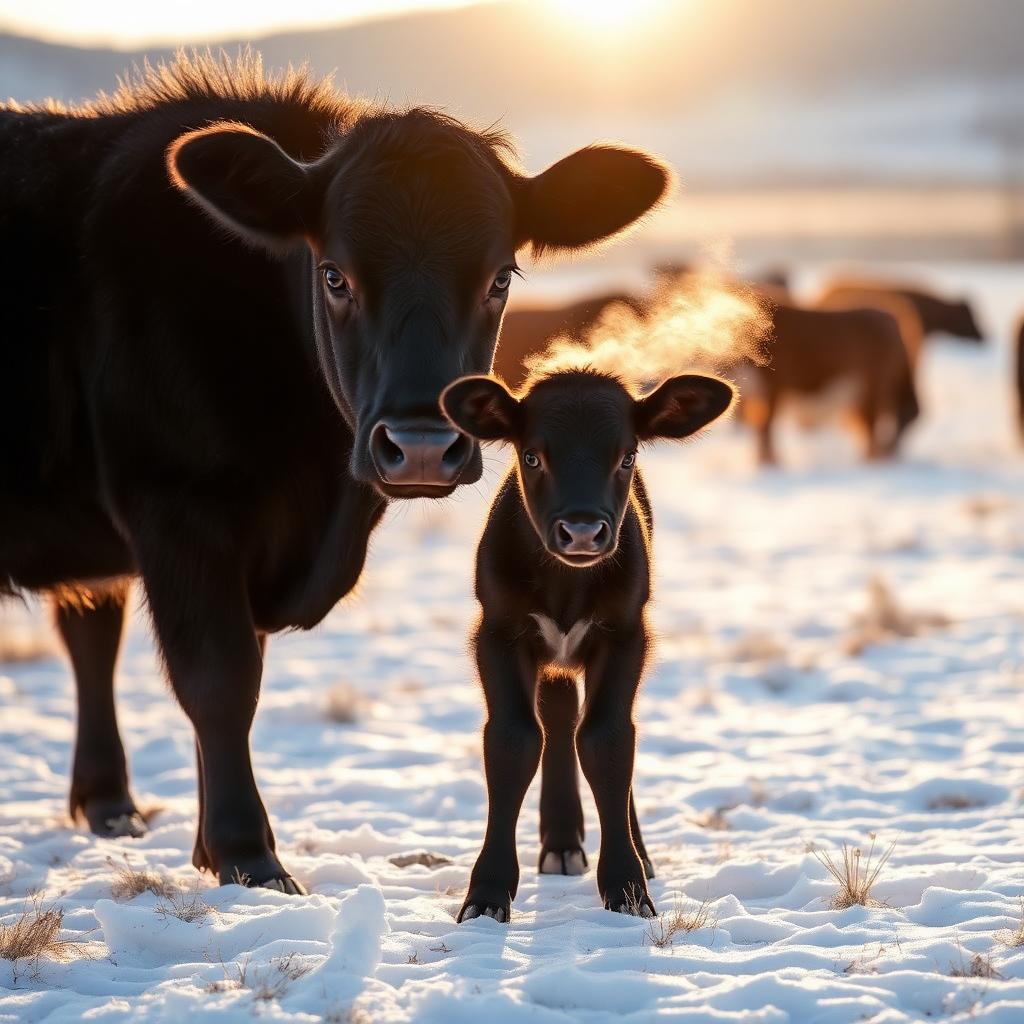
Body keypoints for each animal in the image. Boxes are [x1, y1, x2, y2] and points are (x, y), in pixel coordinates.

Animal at [0, 53, 670, 893]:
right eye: (334, 276)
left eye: (500, 278)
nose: (422, 445)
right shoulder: (177, 505)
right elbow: (219, 679)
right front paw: (247, 856)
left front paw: (211, 848)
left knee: (90, 624)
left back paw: (109, 802)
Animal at [440, 369, 733, 920]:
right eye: (532, 455)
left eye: (627, 456)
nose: (580, 531)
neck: (565, 586)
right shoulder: (497, 633)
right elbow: (513, 740)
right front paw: (487, 894)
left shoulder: (625, 636)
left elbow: (608, 740)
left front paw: (627, 887)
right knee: (557, 717)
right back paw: (560, 842)